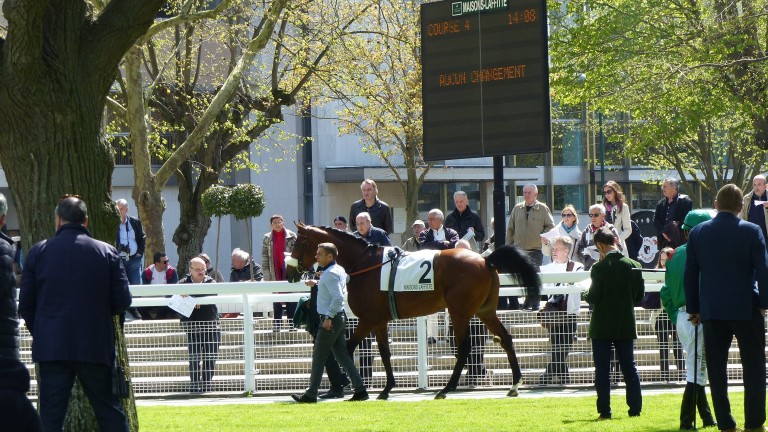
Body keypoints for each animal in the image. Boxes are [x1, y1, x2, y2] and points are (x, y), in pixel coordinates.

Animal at [284, 224, 544, 400]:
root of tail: (485, 260)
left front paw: (343, 381)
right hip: (485, 311)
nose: (290, 273)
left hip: (459, 313)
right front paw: (386, 389)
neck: (364, 264)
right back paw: (514, 385)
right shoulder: (380, 321)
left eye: (296, 243)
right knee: (506, 338)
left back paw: (446, 389)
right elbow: (385, 353)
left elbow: (347, 349)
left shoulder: (368, 319)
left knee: (464, 348)